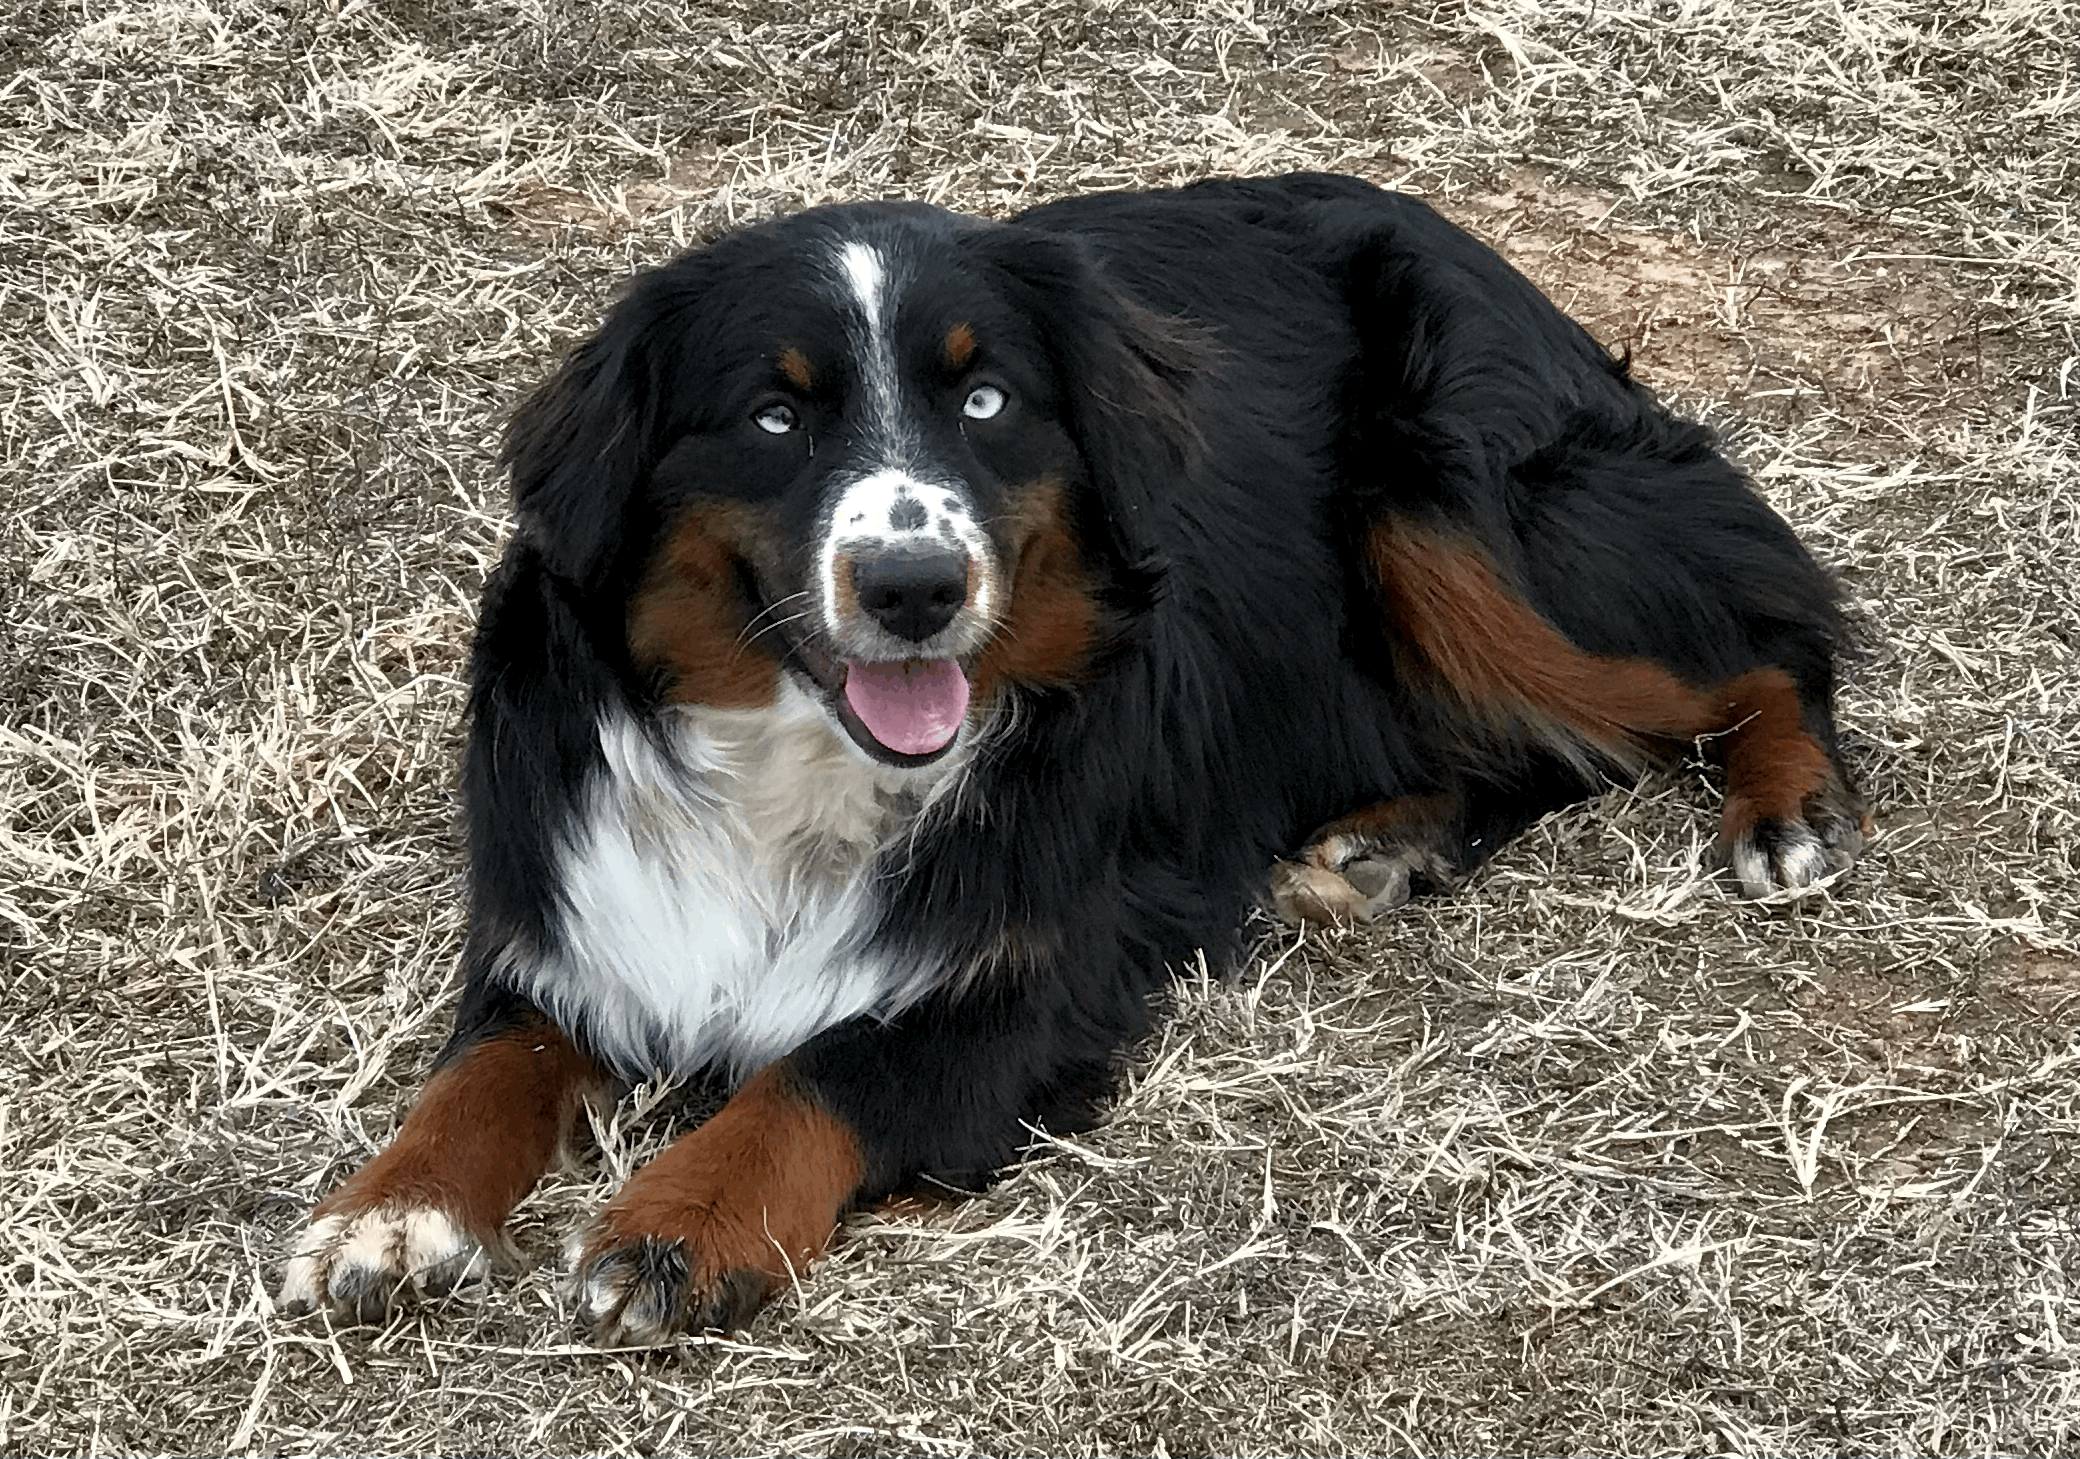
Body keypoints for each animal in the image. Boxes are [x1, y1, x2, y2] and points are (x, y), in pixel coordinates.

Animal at [280, 173, 1864, 1345]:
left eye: (984, 400)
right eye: (775, 412)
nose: (914, 587)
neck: (795, 772)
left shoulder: (1043, 973)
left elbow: (824, 1070)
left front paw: (675, 1228)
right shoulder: (578, 916)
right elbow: (479, 1073)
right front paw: (386, 1211)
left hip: (1460, 516)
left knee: (1764, 639)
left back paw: (1788, 807)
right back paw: (1386, 839)